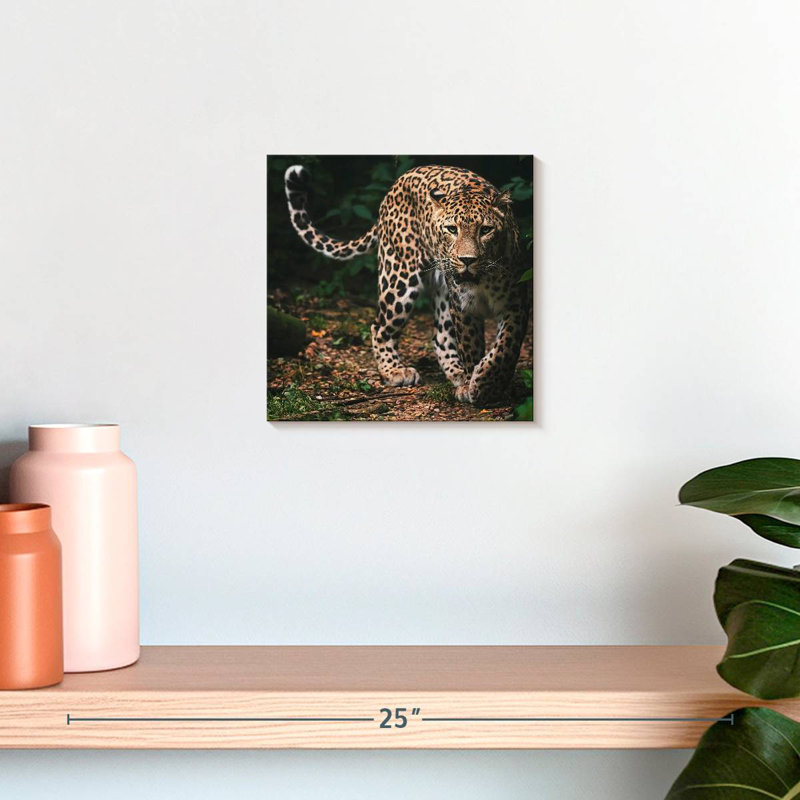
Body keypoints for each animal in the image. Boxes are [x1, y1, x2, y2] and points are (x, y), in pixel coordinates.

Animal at [283, 163, 530, 405]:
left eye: (485, 230)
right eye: (452, 229)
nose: (467, 260)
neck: (483, 279)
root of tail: (399, 181)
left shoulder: (516, 303)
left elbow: (506, 348)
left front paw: (487, 384)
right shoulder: (463, 307)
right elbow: (471, 348)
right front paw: (476, 386)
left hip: (441, 291)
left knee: (440, 336)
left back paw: (457, 375)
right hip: (399, 279)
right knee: (379, 326)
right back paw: (395, 371)